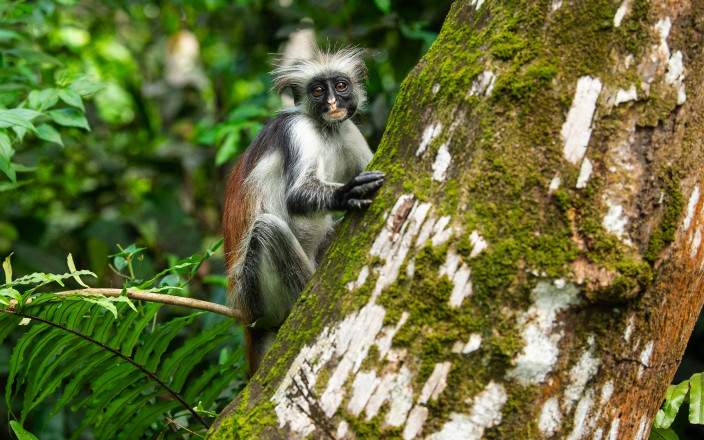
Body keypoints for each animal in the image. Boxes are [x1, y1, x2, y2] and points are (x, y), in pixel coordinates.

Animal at [223, 47, 384, 375]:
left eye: (341, 86)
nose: (333, 103)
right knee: (267, 228)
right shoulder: (297, 130)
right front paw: (345, 194)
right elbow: (296, 197)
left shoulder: (346, 129)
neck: (326, 130)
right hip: (254, 292)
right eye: (318, 91)